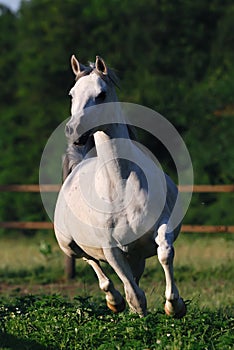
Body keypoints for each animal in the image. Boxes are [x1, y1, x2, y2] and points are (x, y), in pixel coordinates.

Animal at [54, 54, 186, 318]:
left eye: (102, 94)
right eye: (72, 94)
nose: (74, 131)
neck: (121, 187)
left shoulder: (162, 226)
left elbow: (165, 253)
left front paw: (174, 305)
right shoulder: (111, 249)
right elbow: (134, 292)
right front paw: (137, 311)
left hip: (136, 256)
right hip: (69, 246)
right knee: (92, 263)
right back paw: (114, 300)